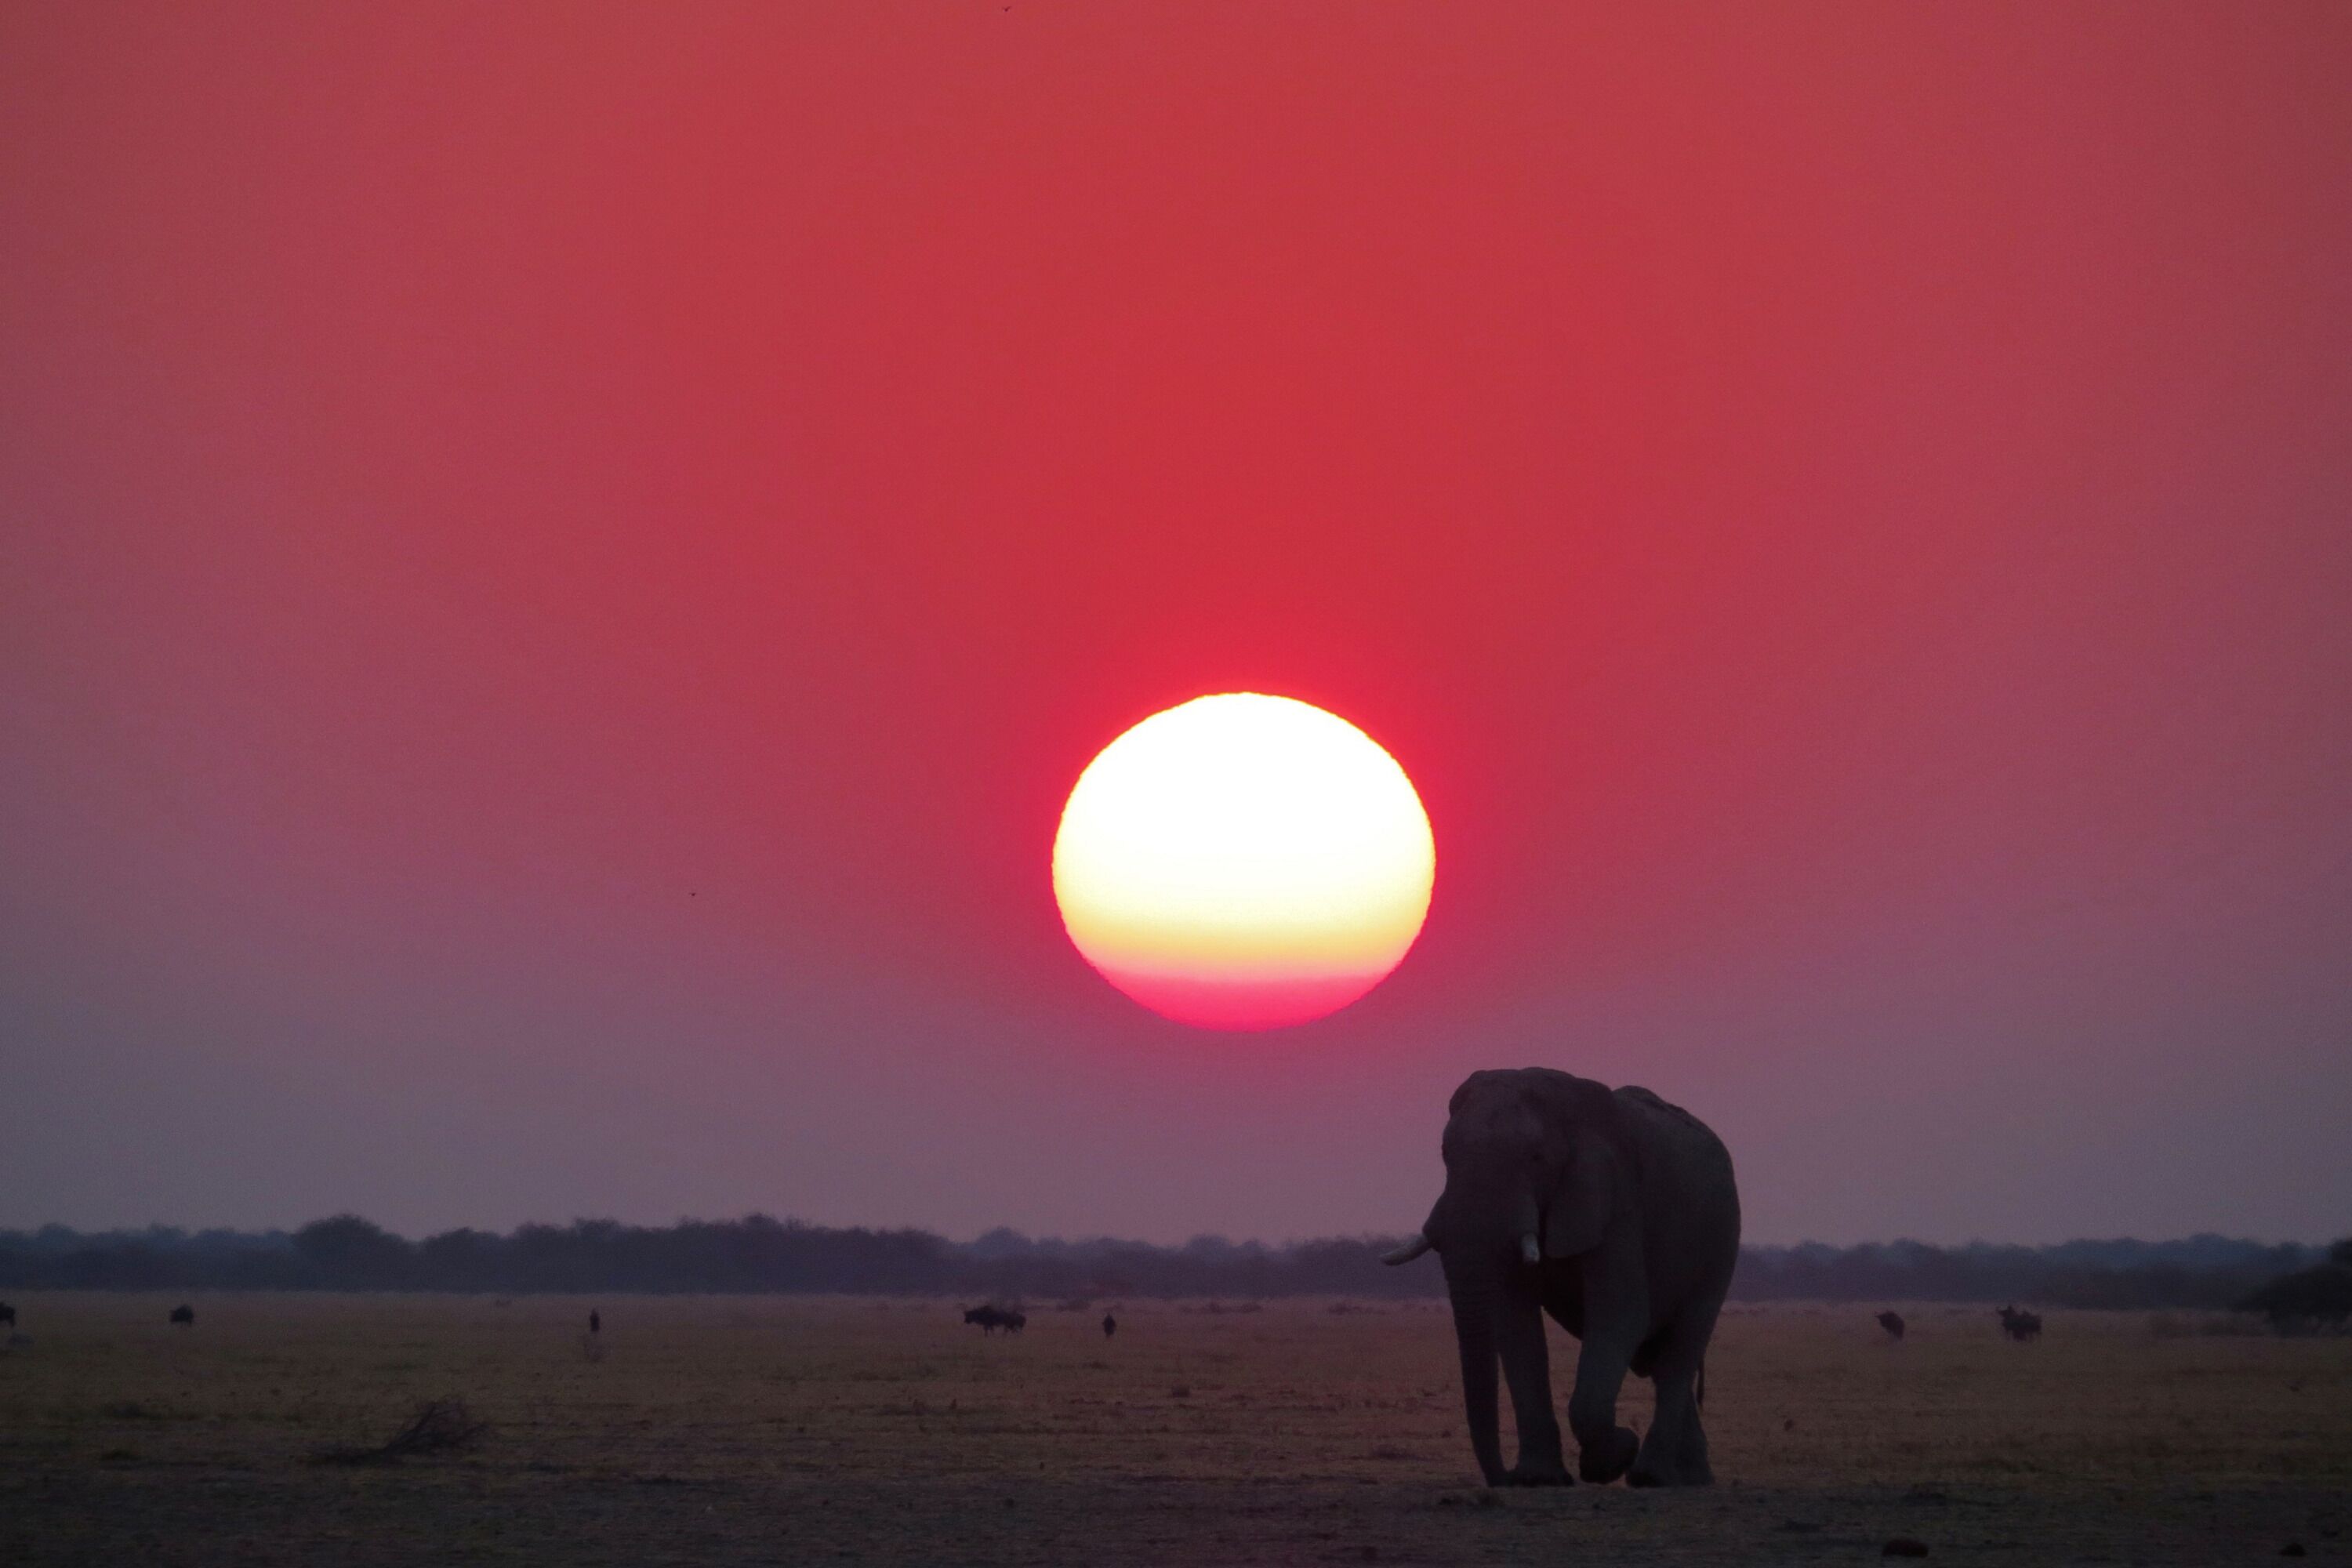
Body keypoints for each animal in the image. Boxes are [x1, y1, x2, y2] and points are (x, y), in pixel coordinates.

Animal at [1383, 1067, 1740, 1489]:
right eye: (1444, 1154)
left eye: (1535, 1158)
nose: (1502, 1478)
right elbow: (1516, 1324)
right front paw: (1539, 1479)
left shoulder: (1616, 1203)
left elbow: (1621, 1315)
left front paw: (1611, 1458)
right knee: (1660, 1357)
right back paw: (1689, 1478)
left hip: (1722, 1242)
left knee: (1680, 1348)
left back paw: (1651, 1476)